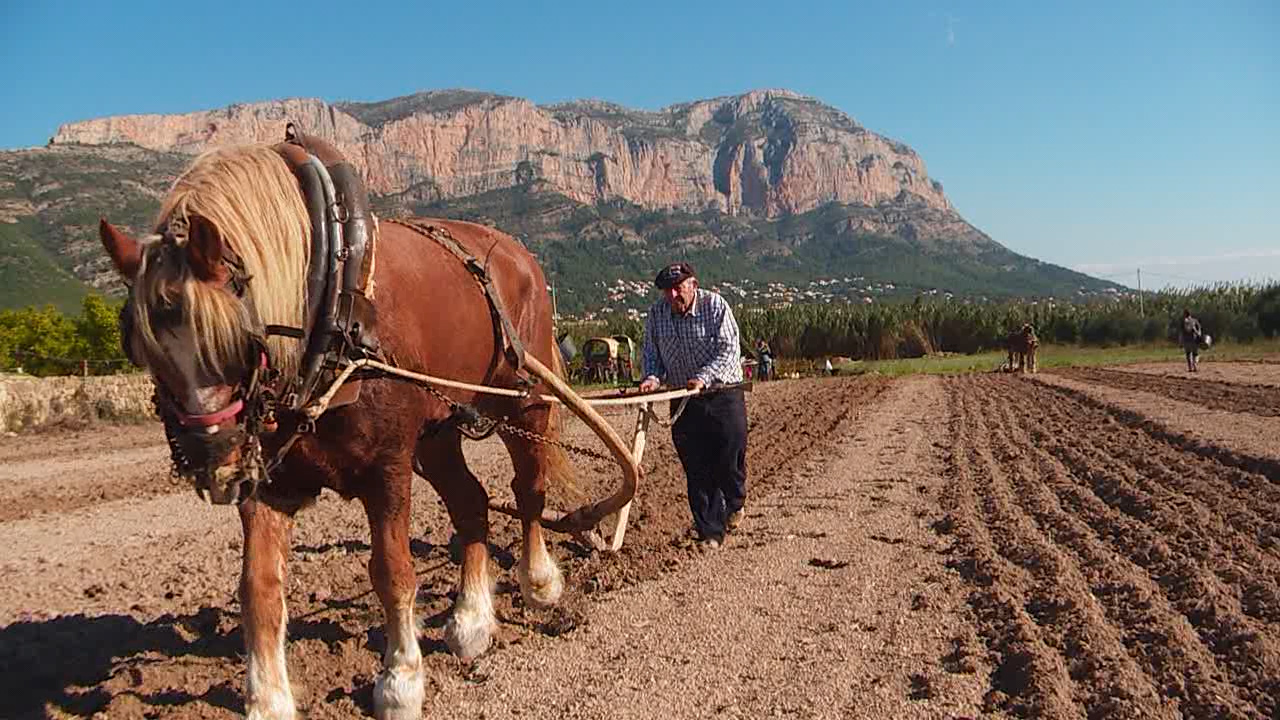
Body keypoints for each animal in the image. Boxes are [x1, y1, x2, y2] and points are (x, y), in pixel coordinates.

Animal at [97, 140, 632, 717]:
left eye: (238, 341)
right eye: (144, 349)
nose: (217, 467)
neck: (333, 303)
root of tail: (517, 254)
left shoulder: (387, 467)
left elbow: (392, 571)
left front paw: (400, 679)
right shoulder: (269, 480)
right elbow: (258, 585)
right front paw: (268, 698)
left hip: (522, 400)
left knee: (528, 490)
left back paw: (538, 582)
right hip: (437, 434)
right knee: (472, 501)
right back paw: (471, 621)